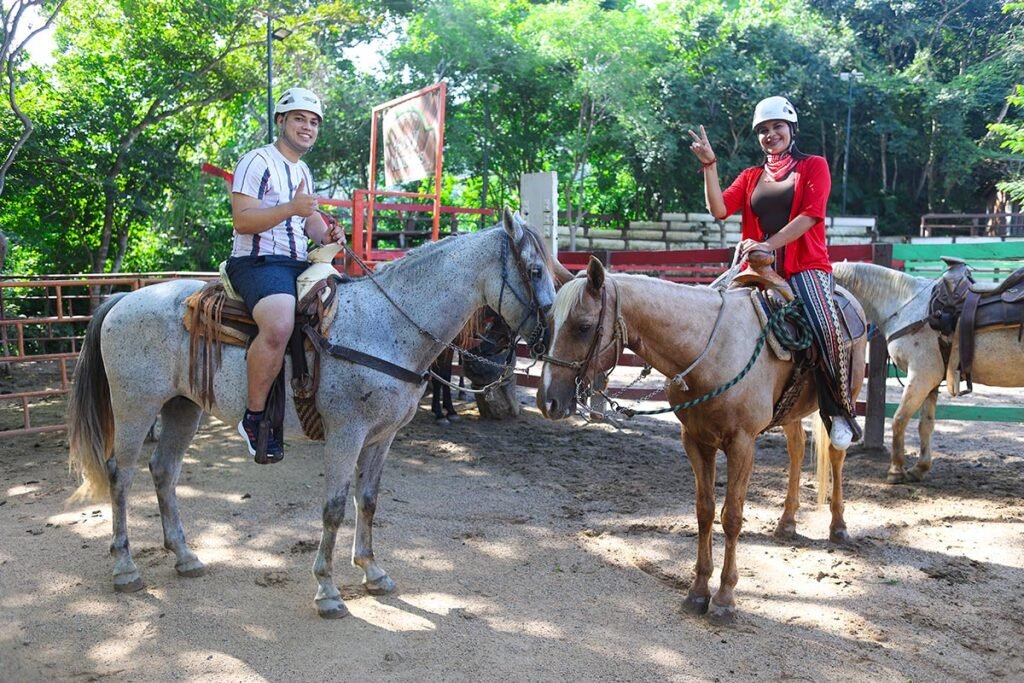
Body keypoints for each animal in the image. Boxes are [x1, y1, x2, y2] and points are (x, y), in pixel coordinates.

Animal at [68, 211, 557, 618]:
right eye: (534, 270)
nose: (547, 335)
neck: (387, 325)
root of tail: (121, 300)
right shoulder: (346, 435)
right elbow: (335, 507)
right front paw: (327, 590)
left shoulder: (382, 437)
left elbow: (368, 501)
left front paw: (372, 571)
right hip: (136, 407)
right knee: (120, 474)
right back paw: (125, 567)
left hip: (182, 408)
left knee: (163, 471)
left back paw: (185, 557)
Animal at [536, 258, 864, 626]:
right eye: (549, 322)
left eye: (583, 326)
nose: (547, 401)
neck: (711, 353)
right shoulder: (695, 441)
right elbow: (704, 511)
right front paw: (697, 591)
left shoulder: (742, 445)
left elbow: (732, 516)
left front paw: (724, 599)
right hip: (791, 414)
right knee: (796, 447)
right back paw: (788, 522)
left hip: (845, 398)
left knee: (836, 455)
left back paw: (838, 527)